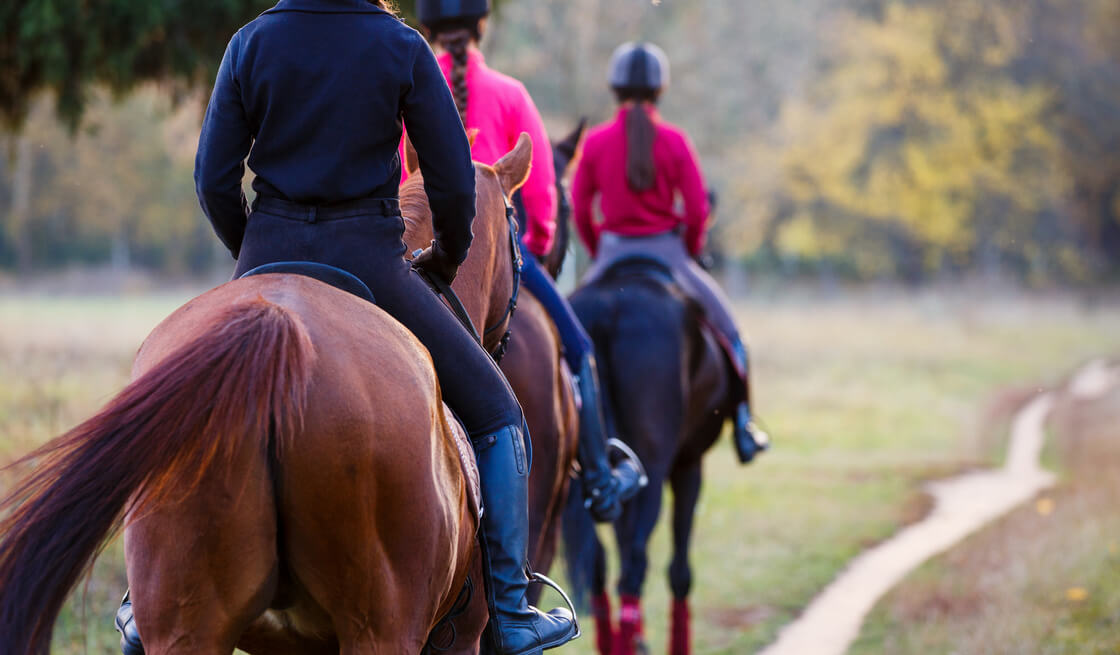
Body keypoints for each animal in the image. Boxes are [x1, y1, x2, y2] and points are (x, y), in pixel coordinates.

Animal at [560, 256, 734, 653]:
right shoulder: (689, 465)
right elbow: (679, 571)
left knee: (600, 564)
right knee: (634, 568)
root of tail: (608, 306)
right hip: (655, 472)